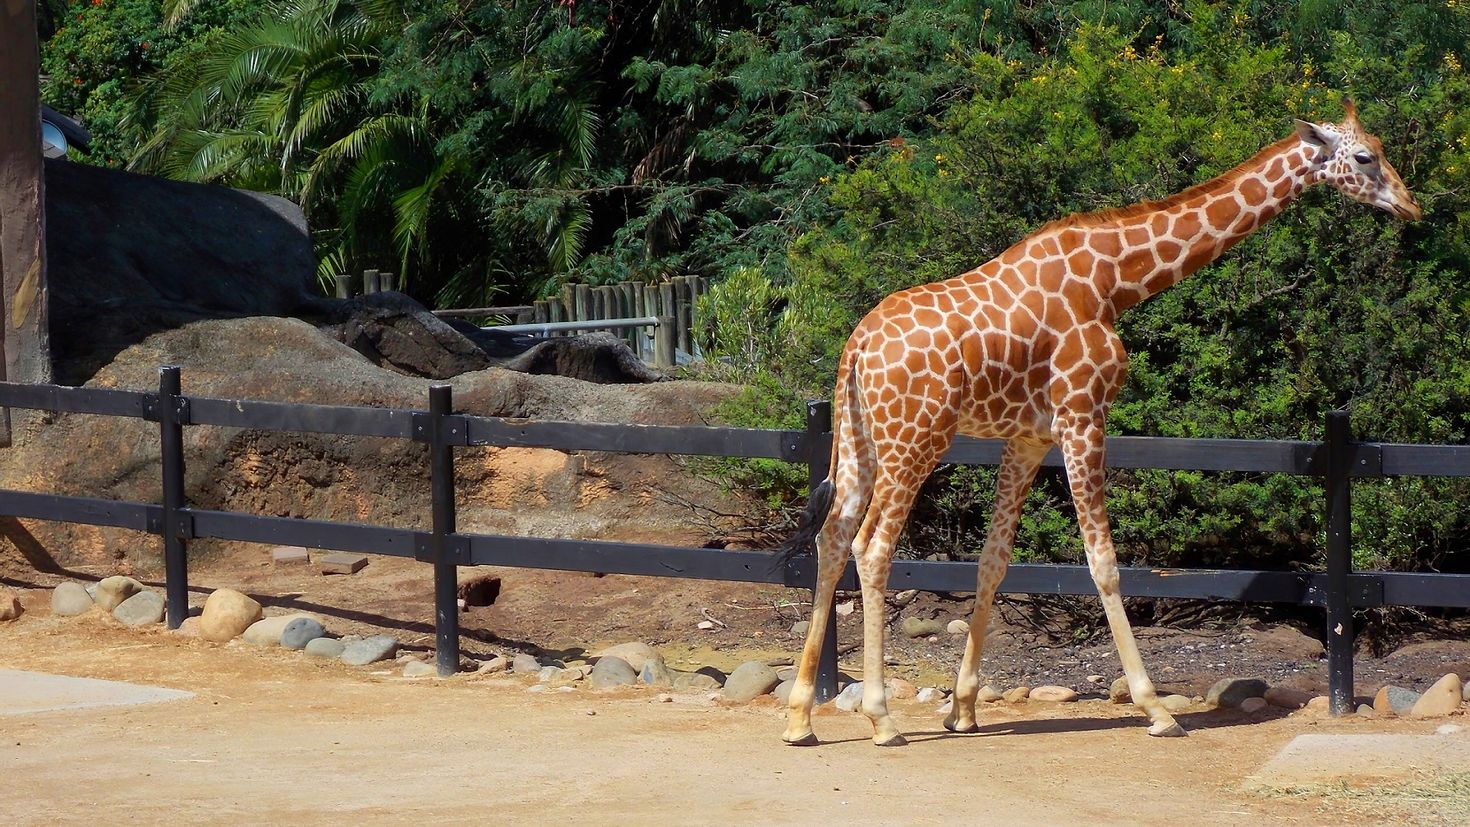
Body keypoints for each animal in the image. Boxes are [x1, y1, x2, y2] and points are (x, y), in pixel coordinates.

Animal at [776, 100, 1417, 746]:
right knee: (872, 548)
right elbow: (1103, 562)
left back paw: (801, 715)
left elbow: (993, 561)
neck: (1115, 279)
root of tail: (856, 347)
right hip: (916, 440)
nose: (1411, 205)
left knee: (833, 538)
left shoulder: (1028, 437)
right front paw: (1156, 709)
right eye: (1366, 157)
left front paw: (963, 707)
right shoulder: (1083, 414)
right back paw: (881, 718)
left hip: (861, 443)